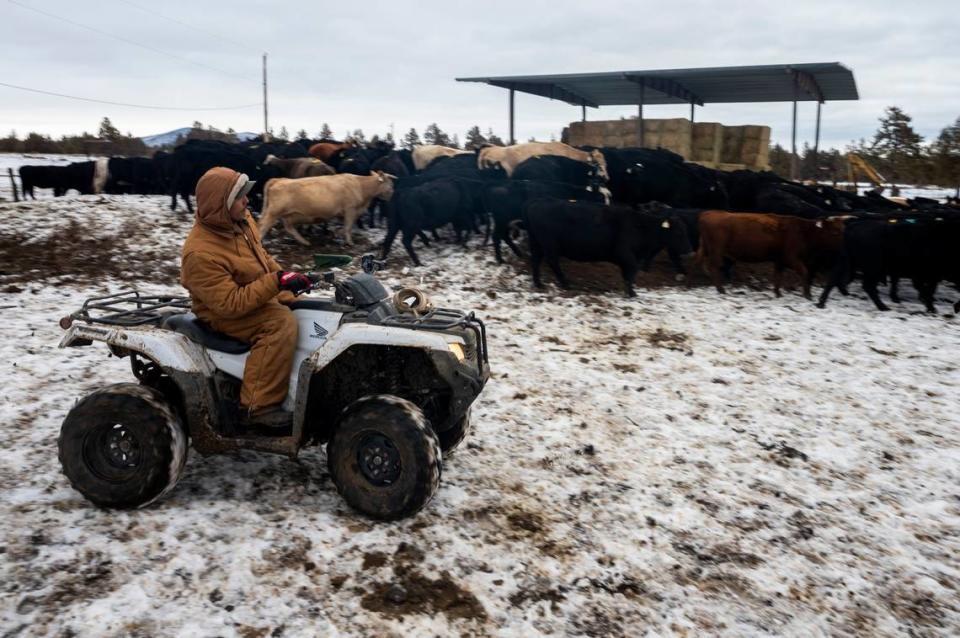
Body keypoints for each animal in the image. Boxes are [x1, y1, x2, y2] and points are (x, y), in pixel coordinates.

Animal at [258, 171, 394, 246]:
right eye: (390, 184)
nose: (392, 193)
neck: (360, 185)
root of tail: (279, 179)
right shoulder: (350, 209)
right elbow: (348, 227)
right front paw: (349, 242)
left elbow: (344, 227)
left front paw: (336, 234)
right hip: (273, 212)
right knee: (263, 226)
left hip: (289, 215)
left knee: (289, 228)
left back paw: (305, 242)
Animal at [524, 200, 688, 298]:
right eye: (678, 232)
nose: (688, 250)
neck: (641, 226)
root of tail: (535, 205)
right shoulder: (625, 254)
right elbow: (631, 272)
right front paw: (632, 293)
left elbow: (628, 274)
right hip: (549, 245)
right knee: (552, 262)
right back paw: (565, 283)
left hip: (537, 243)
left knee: (536, 260)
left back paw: (538, 283)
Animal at [696, 211, 840, 298]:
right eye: (834, 232)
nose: (842, 245)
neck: (804, 231)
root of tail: (709, 213)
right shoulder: (791, 258)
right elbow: (804, 272)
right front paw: (807, 295)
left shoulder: (780, 260)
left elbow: (778, 276)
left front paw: (778, 293)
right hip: (716, 251)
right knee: (714, 267)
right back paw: (721, 290)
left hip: (707, 249)